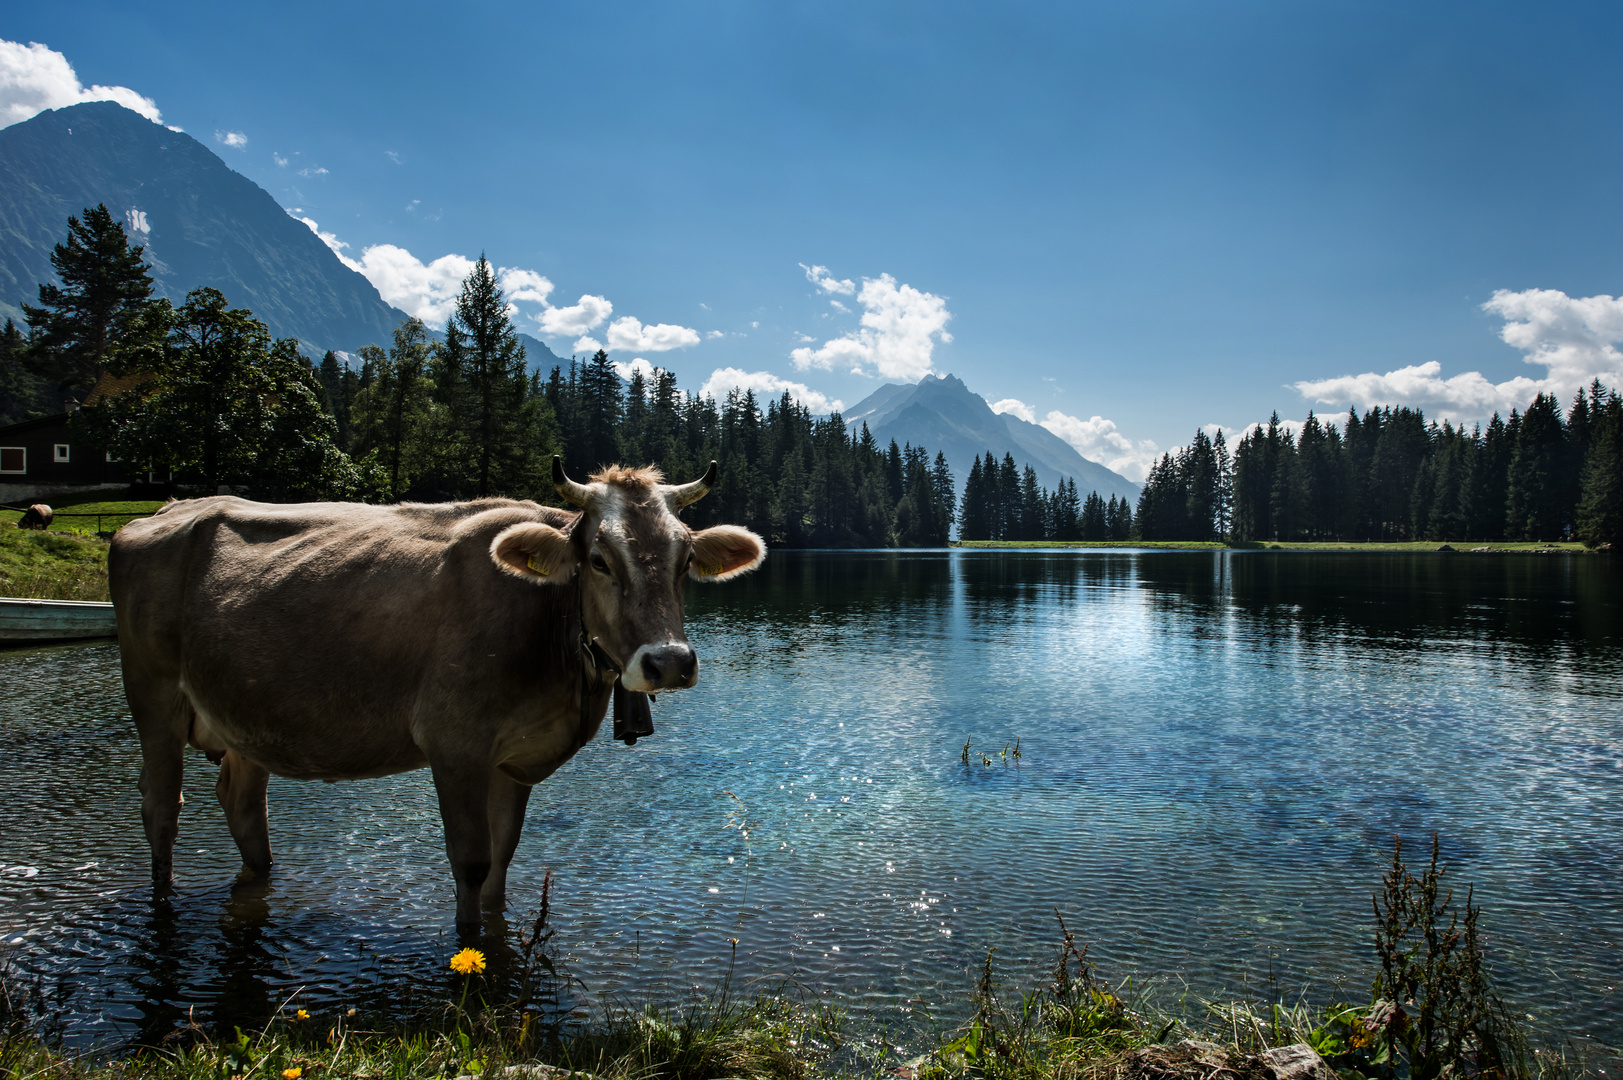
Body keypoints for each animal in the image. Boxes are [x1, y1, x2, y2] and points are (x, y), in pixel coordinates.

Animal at [109, 457, 766, 928]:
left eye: (685, 559)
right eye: (600, 559)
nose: (669, 662)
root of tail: (165, 509)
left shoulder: (512, 757)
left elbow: (503, 857)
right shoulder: (455, 744)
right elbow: (471, 862)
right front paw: (467, 949)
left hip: (247, 714)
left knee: (243, 803)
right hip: (152, 695)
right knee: (160, 807)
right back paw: (162, 902)